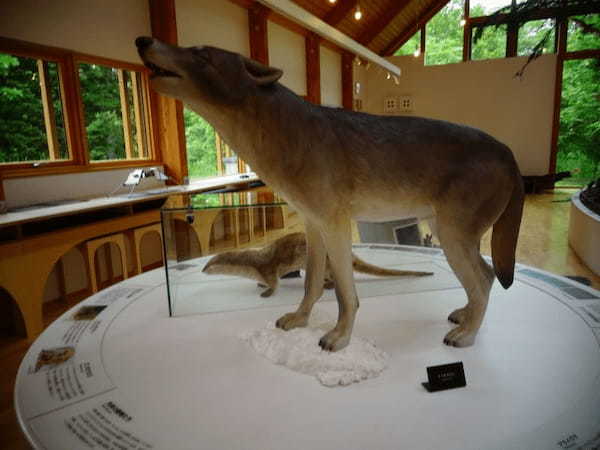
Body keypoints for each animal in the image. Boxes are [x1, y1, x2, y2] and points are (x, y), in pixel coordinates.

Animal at [202, 232, 432, 298]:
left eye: (208, 265)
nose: (203, 270)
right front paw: (259, 285)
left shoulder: (267, 269)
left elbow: (274, 283)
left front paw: (266, 292)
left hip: (327, 265)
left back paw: (328, 285)